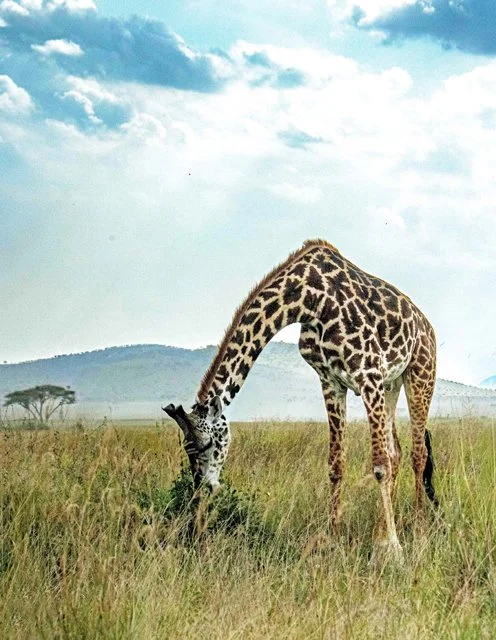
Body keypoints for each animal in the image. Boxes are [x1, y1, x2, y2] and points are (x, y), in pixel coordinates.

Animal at [164, 239, 438, 553]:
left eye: (208, 444)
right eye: (187, 450)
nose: (203, 490)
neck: (309, 301)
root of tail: (427, 325)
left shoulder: (368, 373)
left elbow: (380, 465)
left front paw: (392, 548)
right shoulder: (331, 380)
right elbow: (336, 464)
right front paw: (334, 537)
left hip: (420, 372)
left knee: (418, 452)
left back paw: (418, 528)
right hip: (392, 383)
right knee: (397, 452)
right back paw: (380, 531)